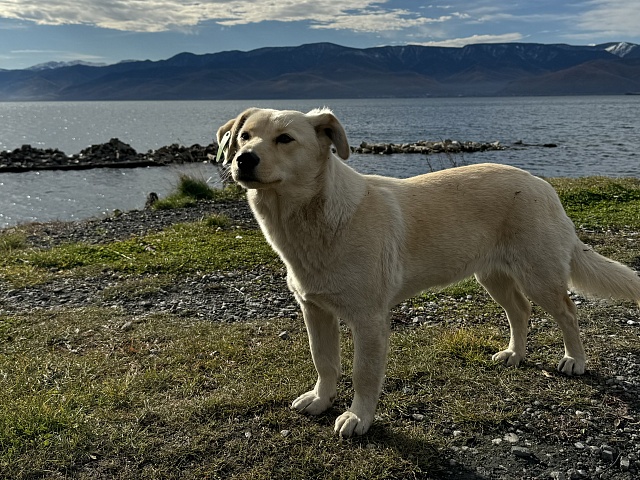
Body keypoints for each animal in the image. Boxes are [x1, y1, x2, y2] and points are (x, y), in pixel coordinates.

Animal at [218, 107, 640, 436]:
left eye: (285, 139)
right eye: (244, 136)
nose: (243, 159)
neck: (310, 219)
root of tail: (541, 183)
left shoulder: (369, 319)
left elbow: (363, 374)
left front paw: (358, 418)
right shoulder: (315, 309)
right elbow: (324, 361)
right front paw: (321, 400)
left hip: (539, 275)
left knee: (567, 312)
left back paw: (575, 360)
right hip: (493, 276)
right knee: (520, 311)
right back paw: (515, 354)